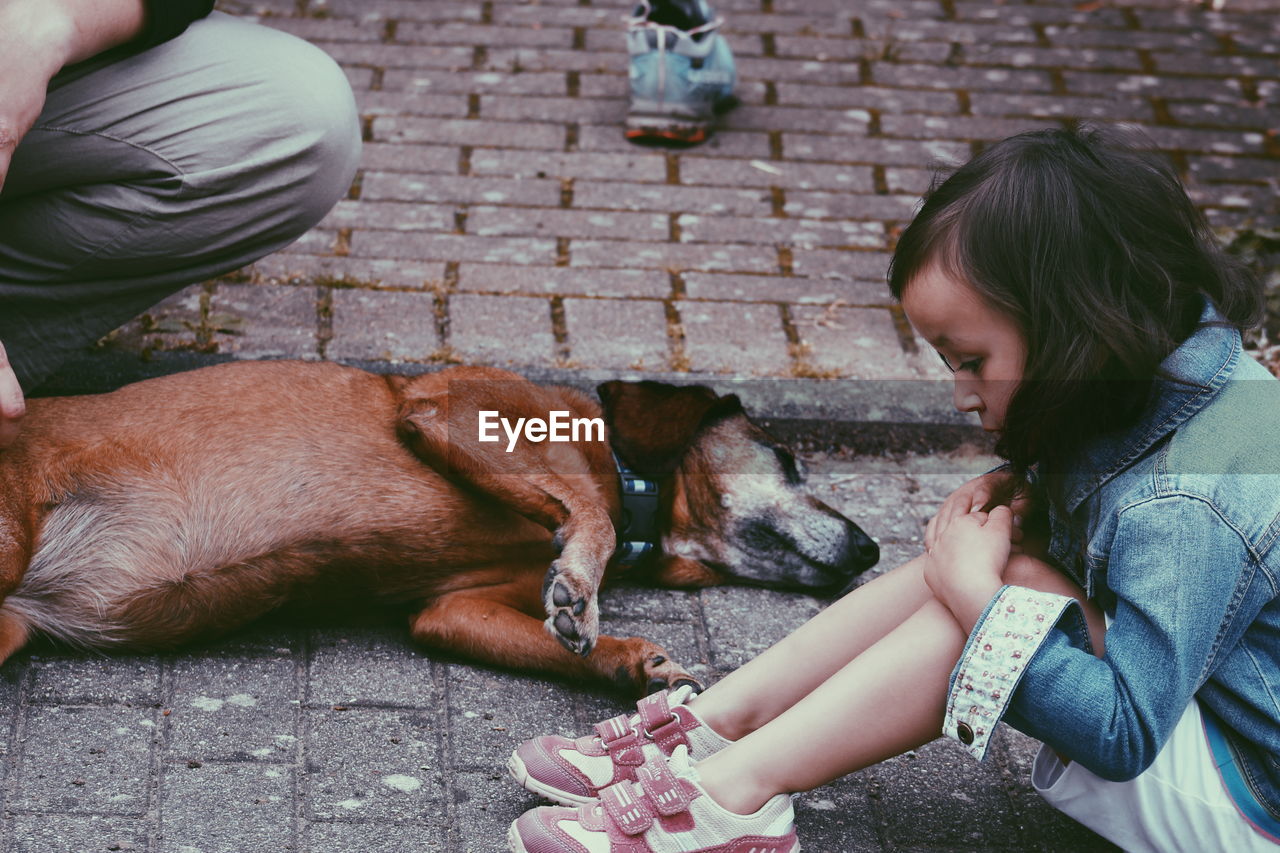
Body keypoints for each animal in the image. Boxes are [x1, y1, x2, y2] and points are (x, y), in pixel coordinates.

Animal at [0, 358, 875, 691]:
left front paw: (632, 660)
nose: (872, 548)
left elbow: (559, 633)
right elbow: (583, 512)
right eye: (787, 456)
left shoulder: (453, 611)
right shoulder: (444, 408)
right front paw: (579, 585)